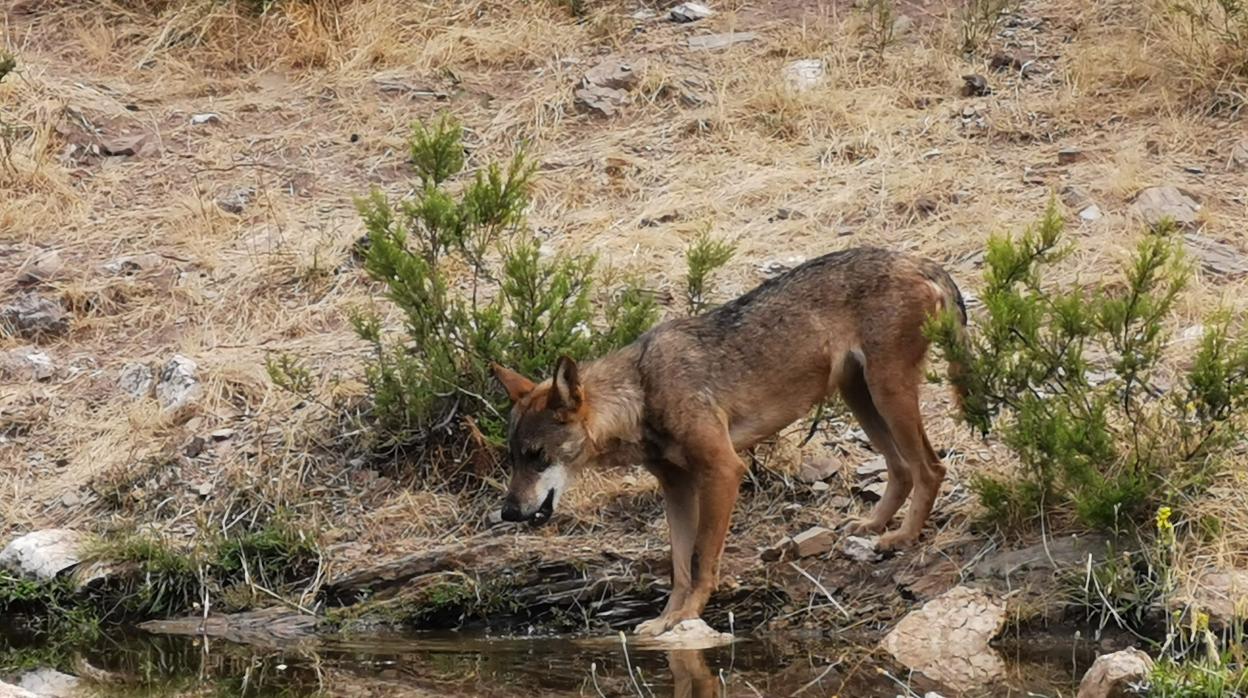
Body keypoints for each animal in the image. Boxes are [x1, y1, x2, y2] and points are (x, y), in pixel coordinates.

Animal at [491, 248, 968, 636]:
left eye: (536, 457)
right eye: (513, 459)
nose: (508, 513)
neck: (641, 391)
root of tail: (919, 260)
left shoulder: (722, 470)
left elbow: (702, 559)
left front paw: (687, 617)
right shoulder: (677, 488)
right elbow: (679, 567)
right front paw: (666, 620)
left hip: (887, 393)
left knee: (930, 467)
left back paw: (902, 537)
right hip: (861, 396)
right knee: (901, 468)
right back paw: (872, 526)